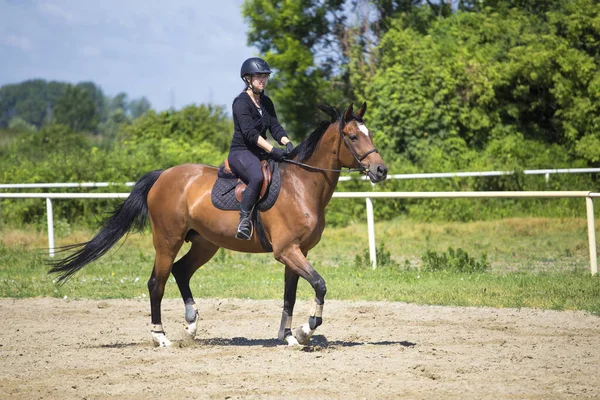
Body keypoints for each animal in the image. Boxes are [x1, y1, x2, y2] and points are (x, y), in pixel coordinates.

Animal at [48, 103, 390, 346]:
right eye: (353, 136)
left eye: (370, 133)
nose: (381, 170)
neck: (301, 185)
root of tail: (163, 175)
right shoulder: (287, 251)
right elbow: (319, 284)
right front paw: (307, 330)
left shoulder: (297, 252)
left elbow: (290, 295)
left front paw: (290, 336)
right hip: (167, 241)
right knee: (157, 283)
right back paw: (161, 337)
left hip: (204, 243)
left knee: (181, 271)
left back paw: (191, 324)